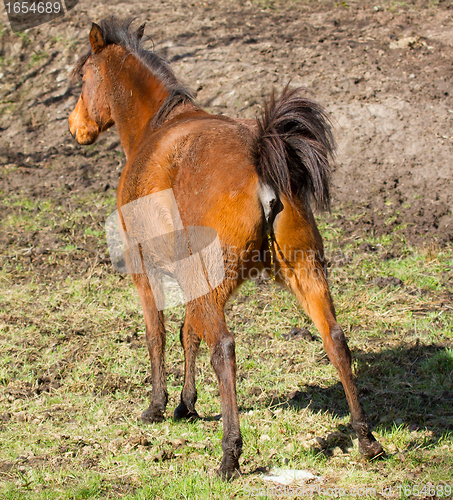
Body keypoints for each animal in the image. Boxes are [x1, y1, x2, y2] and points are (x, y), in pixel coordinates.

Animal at [69, 17, 384, 478]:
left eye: (83, 75)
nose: (75, 126)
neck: (155, 128)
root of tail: (262, 161)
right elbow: (188, 334)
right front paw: (186, 404)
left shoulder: (146, 272)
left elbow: (159, 334)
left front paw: (158, 405)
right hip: (305, 272)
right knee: (336, 341)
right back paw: (366, 438)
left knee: (225, 348)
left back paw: (230, 454)